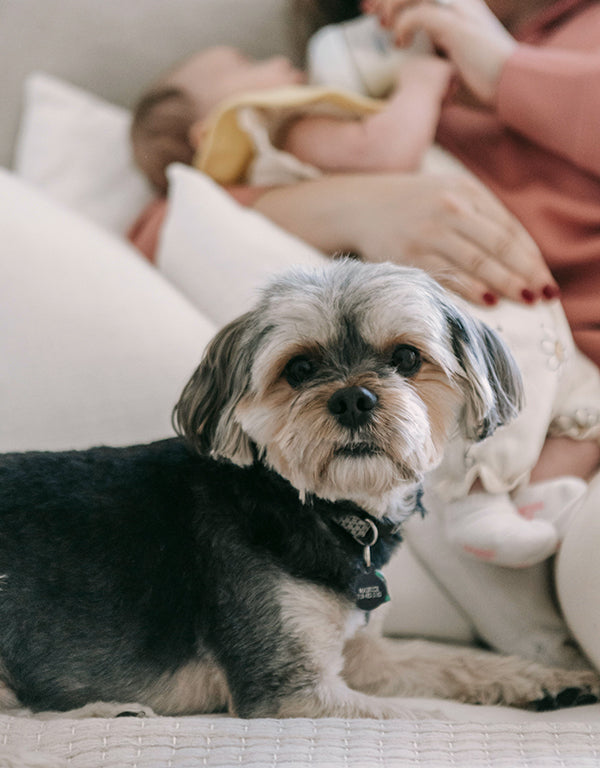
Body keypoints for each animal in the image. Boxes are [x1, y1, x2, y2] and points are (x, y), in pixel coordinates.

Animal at [0, 260, 596, 716]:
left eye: (406, 357)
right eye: (300, 367)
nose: (353, 399)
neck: (321, 509)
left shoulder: (361, 653)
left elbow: (445, 659)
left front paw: (549, 677)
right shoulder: (292, 689)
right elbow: (413, 716)